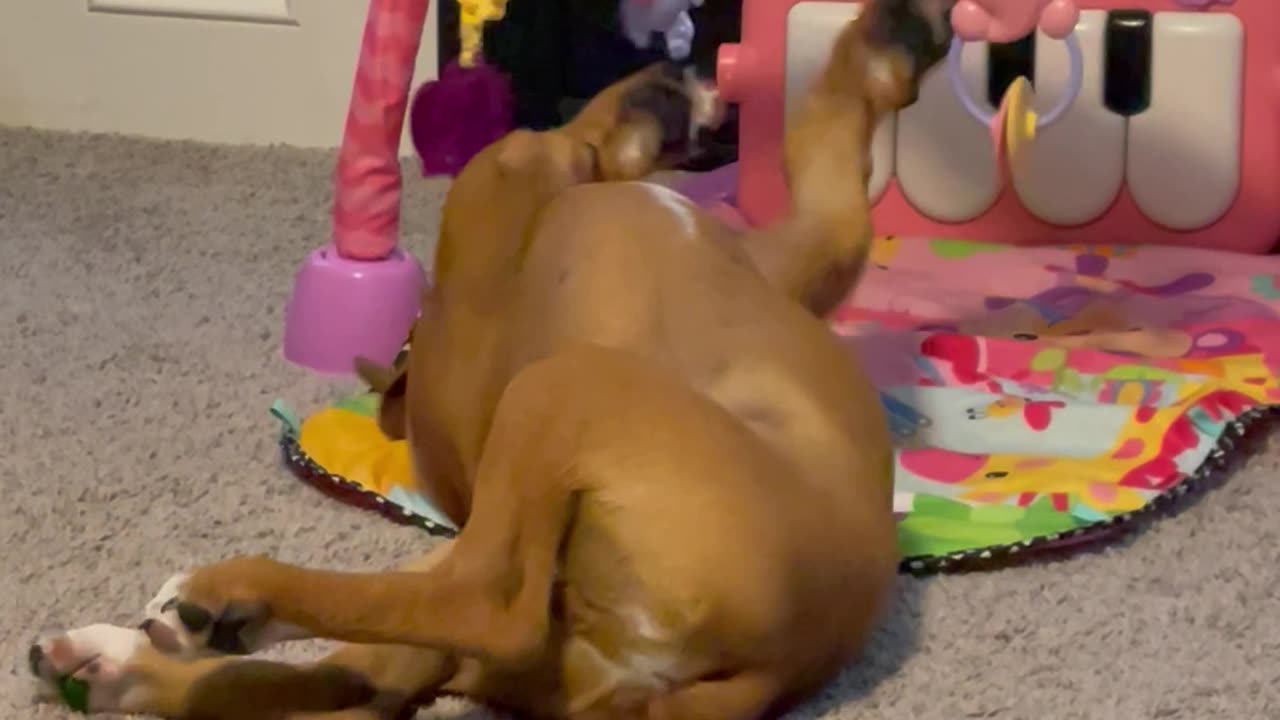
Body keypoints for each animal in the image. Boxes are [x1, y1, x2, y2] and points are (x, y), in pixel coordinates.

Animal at [30, 2, 952, 712]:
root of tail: (764, 675)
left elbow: (827, 139)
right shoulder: (787, 242)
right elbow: (812, 139)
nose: (682, 68)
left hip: (551, 412)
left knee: (419, 640)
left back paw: (161, 643)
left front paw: (893, 39)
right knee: (460, 617)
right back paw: (160, 639)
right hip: (563, 398)